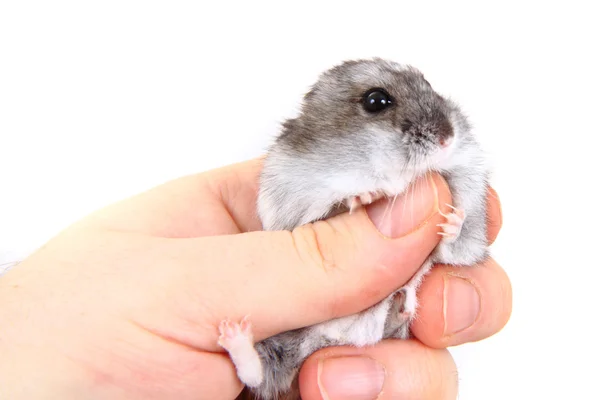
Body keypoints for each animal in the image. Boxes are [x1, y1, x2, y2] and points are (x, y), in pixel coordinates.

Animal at [218, 57, 490, 400]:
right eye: (376, 100)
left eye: (428, 83)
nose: (448, 139)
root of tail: (332, 337)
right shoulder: (287, 209)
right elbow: (323, 212)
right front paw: (364, 198)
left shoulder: (467, 243)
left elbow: (457, 250)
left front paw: (453, 218)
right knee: (258, 376)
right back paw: (232, 335)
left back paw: (401, 305)